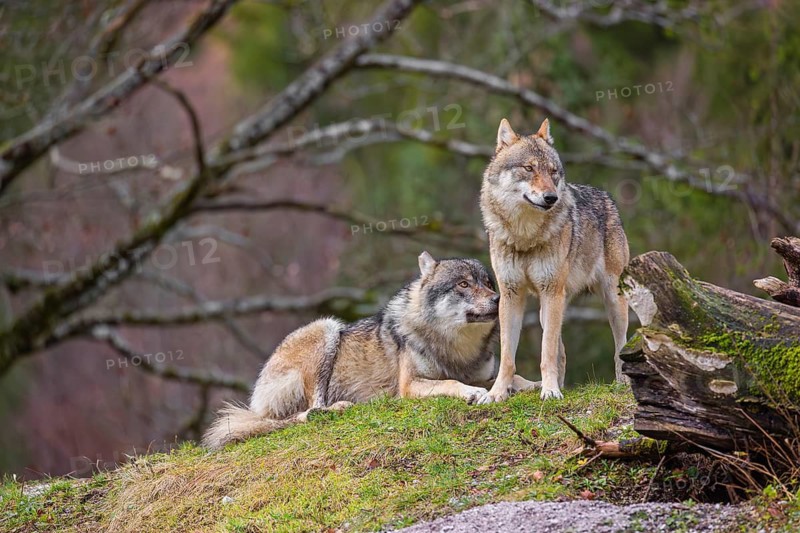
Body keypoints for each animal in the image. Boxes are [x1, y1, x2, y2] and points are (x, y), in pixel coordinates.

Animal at [203, 251, 538, 448]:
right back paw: (340, 408)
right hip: (327, 328)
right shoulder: (410, 385)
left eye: (488, 283)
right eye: (464, 285)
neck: (456, 348)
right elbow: (451, 382)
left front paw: (535, 385)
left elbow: (512, 378)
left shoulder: (483, 372)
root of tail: (255, 401)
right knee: (308, 412)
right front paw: (471, 393)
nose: (499, 300)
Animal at [478, 118, 630, 402]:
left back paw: (623, 383)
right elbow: (508, 356)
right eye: (528, 168)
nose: (551, 197)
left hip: (611, 300)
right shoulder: (511, 294)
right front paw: (497, 393)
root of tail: (607, 198)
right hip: (547, 308)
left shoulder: (551, 292)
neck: (525, 236)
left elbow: (545, 351)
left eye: (553, 171)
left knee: (620, 346)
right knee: (563, 352)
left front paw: (549, 392)